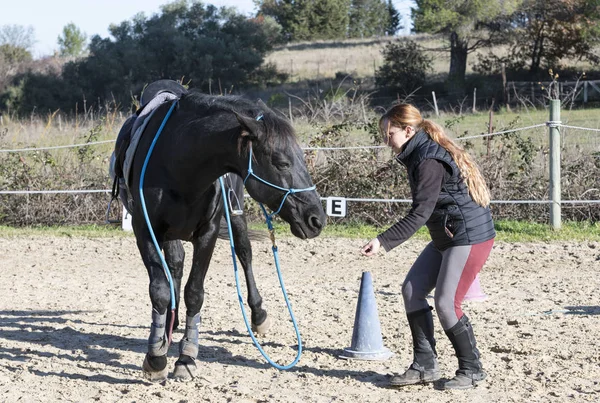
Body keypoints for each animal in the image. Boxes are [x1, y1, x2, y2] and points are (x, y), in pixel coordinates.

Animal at [115, 89, 326, 382]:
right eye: (281, 162)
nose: (316, 219)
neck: (180, 163)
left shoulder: (208, 232)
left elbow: (195, 292)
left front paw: (187, 358)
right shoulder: (145, 230)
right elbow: (160, 290)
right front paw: (156, 357)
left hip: (235, 214)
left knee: (244, 253)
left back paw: (258, 315)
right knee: (175, 266)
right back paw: (169, 325)